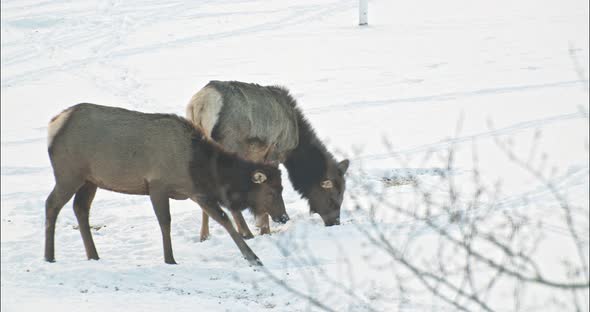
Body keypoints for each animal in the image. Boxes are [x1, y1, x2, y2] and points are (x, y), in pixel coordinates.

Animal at [44, 103, 290, 266]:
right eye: (271, 190)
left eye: (282, 187)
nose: (284, 217)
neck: (197, 167)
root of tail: (53, 125)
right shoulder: (158, 185)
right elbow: (166, 222)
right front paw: (170, 259)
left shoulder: (197, 192)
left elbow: (222, 219)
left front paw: (253, 257)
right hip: (69, 173)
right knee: (51, 204)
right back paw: (49, 256)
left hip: (90, 180)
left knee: (80, 208)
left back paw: (93, 255)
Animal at [187, 80, 350, 239]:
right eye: (332, 199)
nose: (335, 222)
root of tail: (199, 105)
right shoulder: (274, 153)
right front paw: (265, 229)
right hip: (228, 147)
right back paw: (245, 233)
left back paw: (204, 236)